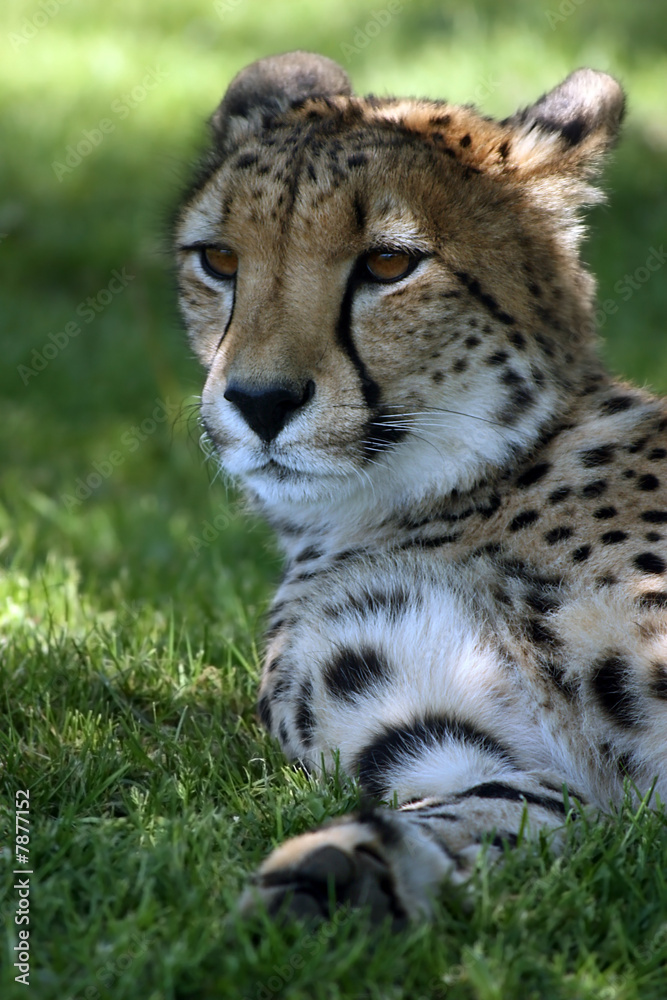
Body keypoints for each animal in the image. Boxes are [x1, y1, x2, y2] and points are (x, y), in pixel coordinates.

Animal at [174, 51, 667, 926]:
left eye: (388, 264)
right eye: (219, 261)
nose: (260, 402)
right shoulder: (473, 749)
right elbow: (502, 805)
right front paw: (340, 870)